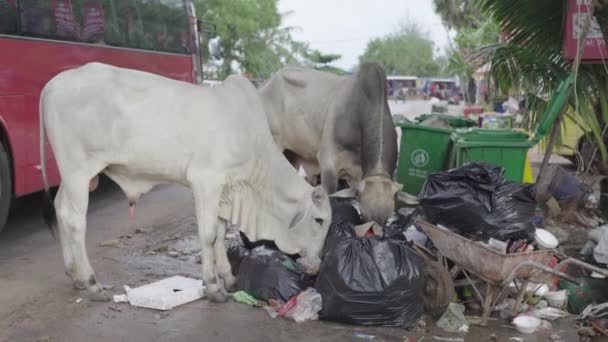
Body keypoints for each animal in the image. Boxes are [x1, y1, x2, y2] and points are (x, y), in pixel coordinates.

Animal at [39, 63, 332, 302]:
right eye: (319, 220)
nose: (318, 264)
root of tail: (52, 84)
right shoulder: (206, 180)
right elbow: (209, 234)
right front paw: (213, 287)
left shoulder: (225, 189)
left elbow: (221, 234)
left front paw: (228, 278)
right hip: (78, 171)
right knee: (74, 220)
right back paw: (91, 283)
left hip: (72, 175)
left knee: (60, 209)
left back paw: (75, 276)